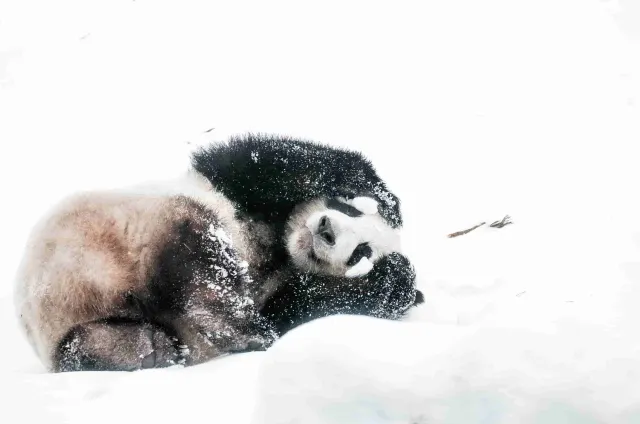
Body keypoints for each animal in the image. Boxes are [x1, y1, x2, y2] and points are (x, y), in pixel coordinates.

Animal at [12, 133, 422, 372]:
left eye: (361, 252)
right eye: (348, 210)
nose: (326, 230)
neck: (279, 247)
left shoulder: (285, 290)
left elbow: (308, 306)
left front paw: (390, 278)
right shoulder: (235, 186)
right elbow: (272, 163)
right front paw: (379, 194)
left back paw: (163, 343)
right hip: (110, 234)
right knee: (202, 254)